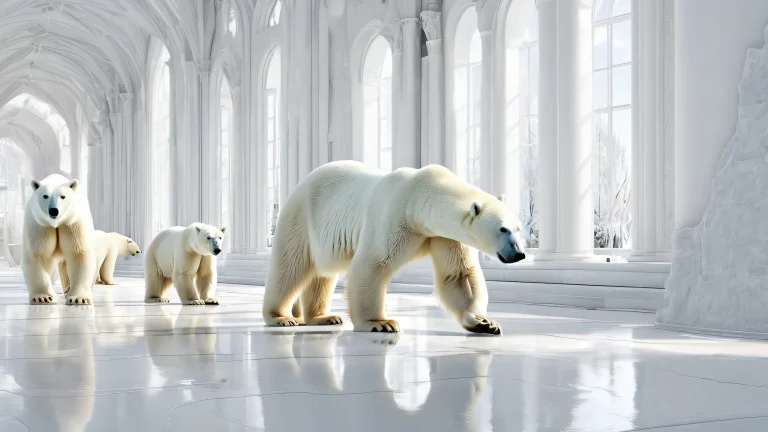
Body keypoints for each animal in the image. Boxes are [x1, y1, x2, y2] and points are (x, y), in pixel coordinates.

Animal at [21, 174, 97, 305]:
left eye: (63, 196)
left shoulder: (73, 223)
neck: (56, 223)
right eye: (45, 196)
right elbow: (38, 254)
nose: (54, 210)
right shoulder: (40, 225)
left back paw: (68, 291)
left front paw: (79, 298)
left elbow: (78, 253)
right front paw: (43, 297)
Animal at [262, 160, 526, 334]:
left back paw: (324, 317)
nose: (519, 253)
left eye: (518, 227)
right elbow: (372, 263)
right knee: (289, 267)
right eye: (502, 229)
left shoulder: (444, 235)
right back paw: (282, 318)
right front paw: (380, 323)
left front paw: (484, 322)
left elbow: (458, 274)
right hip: (301, 218)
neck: (420, 194)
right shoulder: (395, 216)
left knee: (322, 273)